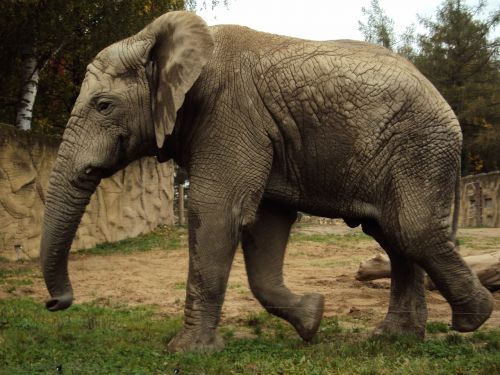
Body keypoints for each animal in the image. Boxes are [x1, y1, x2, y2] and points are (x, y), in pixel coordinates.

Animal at [40, 11, 492, 352]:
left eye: (103, 105)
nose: (54, 303)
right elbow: (265, 227)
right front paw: (312, 319)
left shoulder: (230, 114)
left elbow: (217, 213)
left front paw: (186, 351)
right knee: (393, 235)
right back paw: (394, 339)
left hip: (419, 148)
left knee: (410, 230)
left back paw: (473, 319)